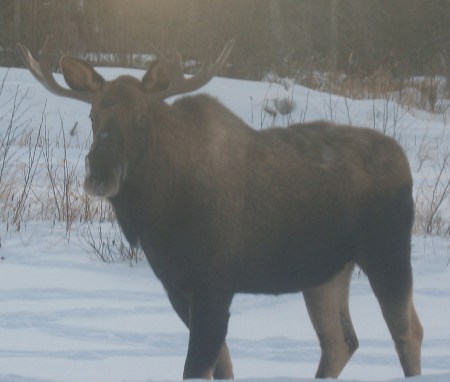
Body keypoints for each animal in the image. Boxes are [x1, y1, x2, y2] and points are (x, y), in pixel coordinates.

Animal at [17, 38, 424, 380]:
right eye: (92, 116)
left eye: (143, 117)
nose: (100, 171)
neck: (157, 215)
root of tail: (403, 159)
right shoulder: (176, 287)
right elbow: (222, 368)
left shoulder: (214, 284)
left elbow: (197, 368)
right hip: (325, 272)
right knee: (340, 342)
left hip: (387, 253)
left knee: (408, 332)